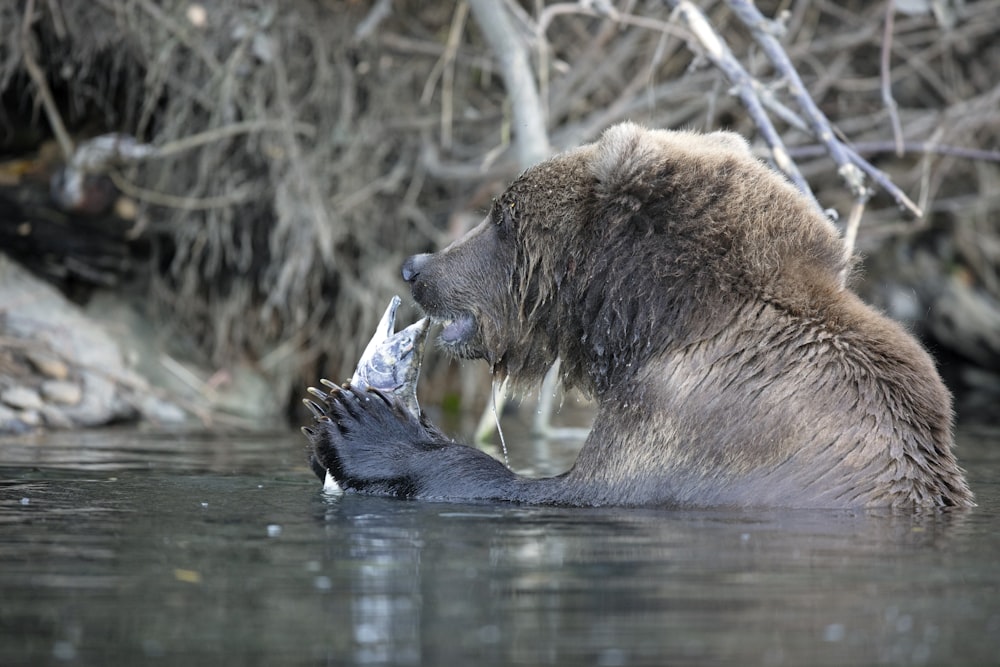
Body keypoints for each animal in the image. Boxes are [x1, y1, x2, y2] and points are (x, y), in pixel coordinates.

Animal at [306, 122, 976, 508]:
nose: (417, 267)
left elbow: (558, 492)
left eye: (501, 216)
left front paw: (360, 422)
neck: (661, 318)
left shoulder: (688, 418)